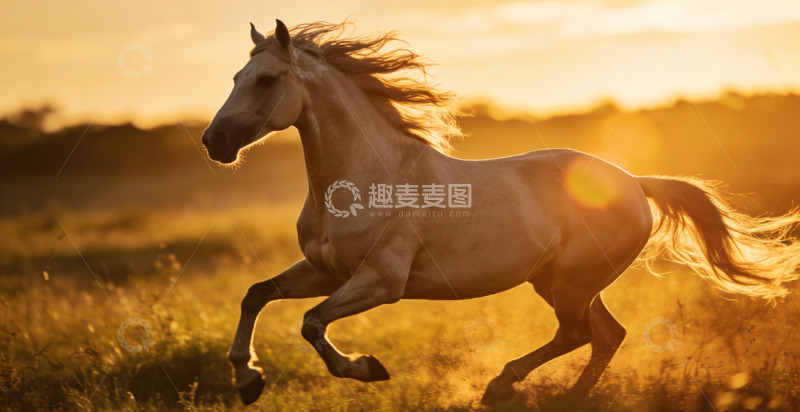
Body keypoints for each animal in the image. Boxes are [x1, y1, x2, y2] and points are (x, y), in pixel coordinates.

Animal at [201, 20, 800, 406]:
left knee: (579, 335)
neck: (367, 179)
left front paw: (366, 369)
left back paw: (501, 385)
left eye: (266, 80)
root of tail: (634, 183)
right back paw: (564, 399)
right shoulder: (325, 271)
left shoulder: (381, 281)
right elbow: (256, 295)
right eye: (233, 78)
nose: (214, 141)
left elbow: (311, 322)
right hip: (559, 282)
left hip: (571, 282)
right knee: (606, 336)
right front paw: (247, 380)